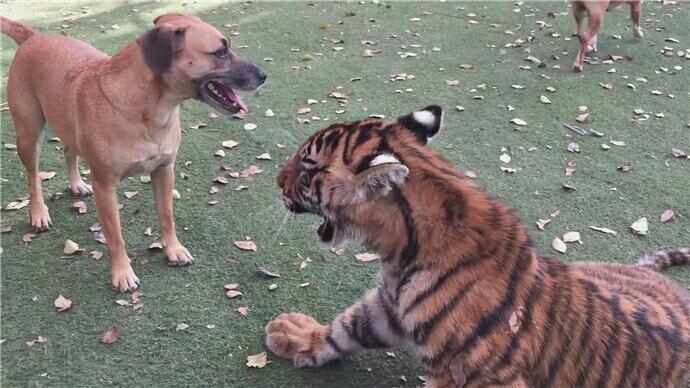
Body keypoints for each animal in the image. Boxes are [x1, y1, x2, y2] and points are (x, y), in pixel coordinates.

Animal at [1, 12, 264, 292]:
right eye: (221, 52)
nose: (264, 75)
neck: (149, 110)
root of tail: (33, 37)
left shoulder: (164, 170)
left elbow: (167, 215)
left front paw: (174, 249)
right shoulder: (105, 185)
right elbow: (115, 235)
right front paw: (122, 272)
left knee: (68, 151)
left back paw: (75, 184)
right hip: (28, 133)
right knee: (33, 177)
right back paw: (39, 213)